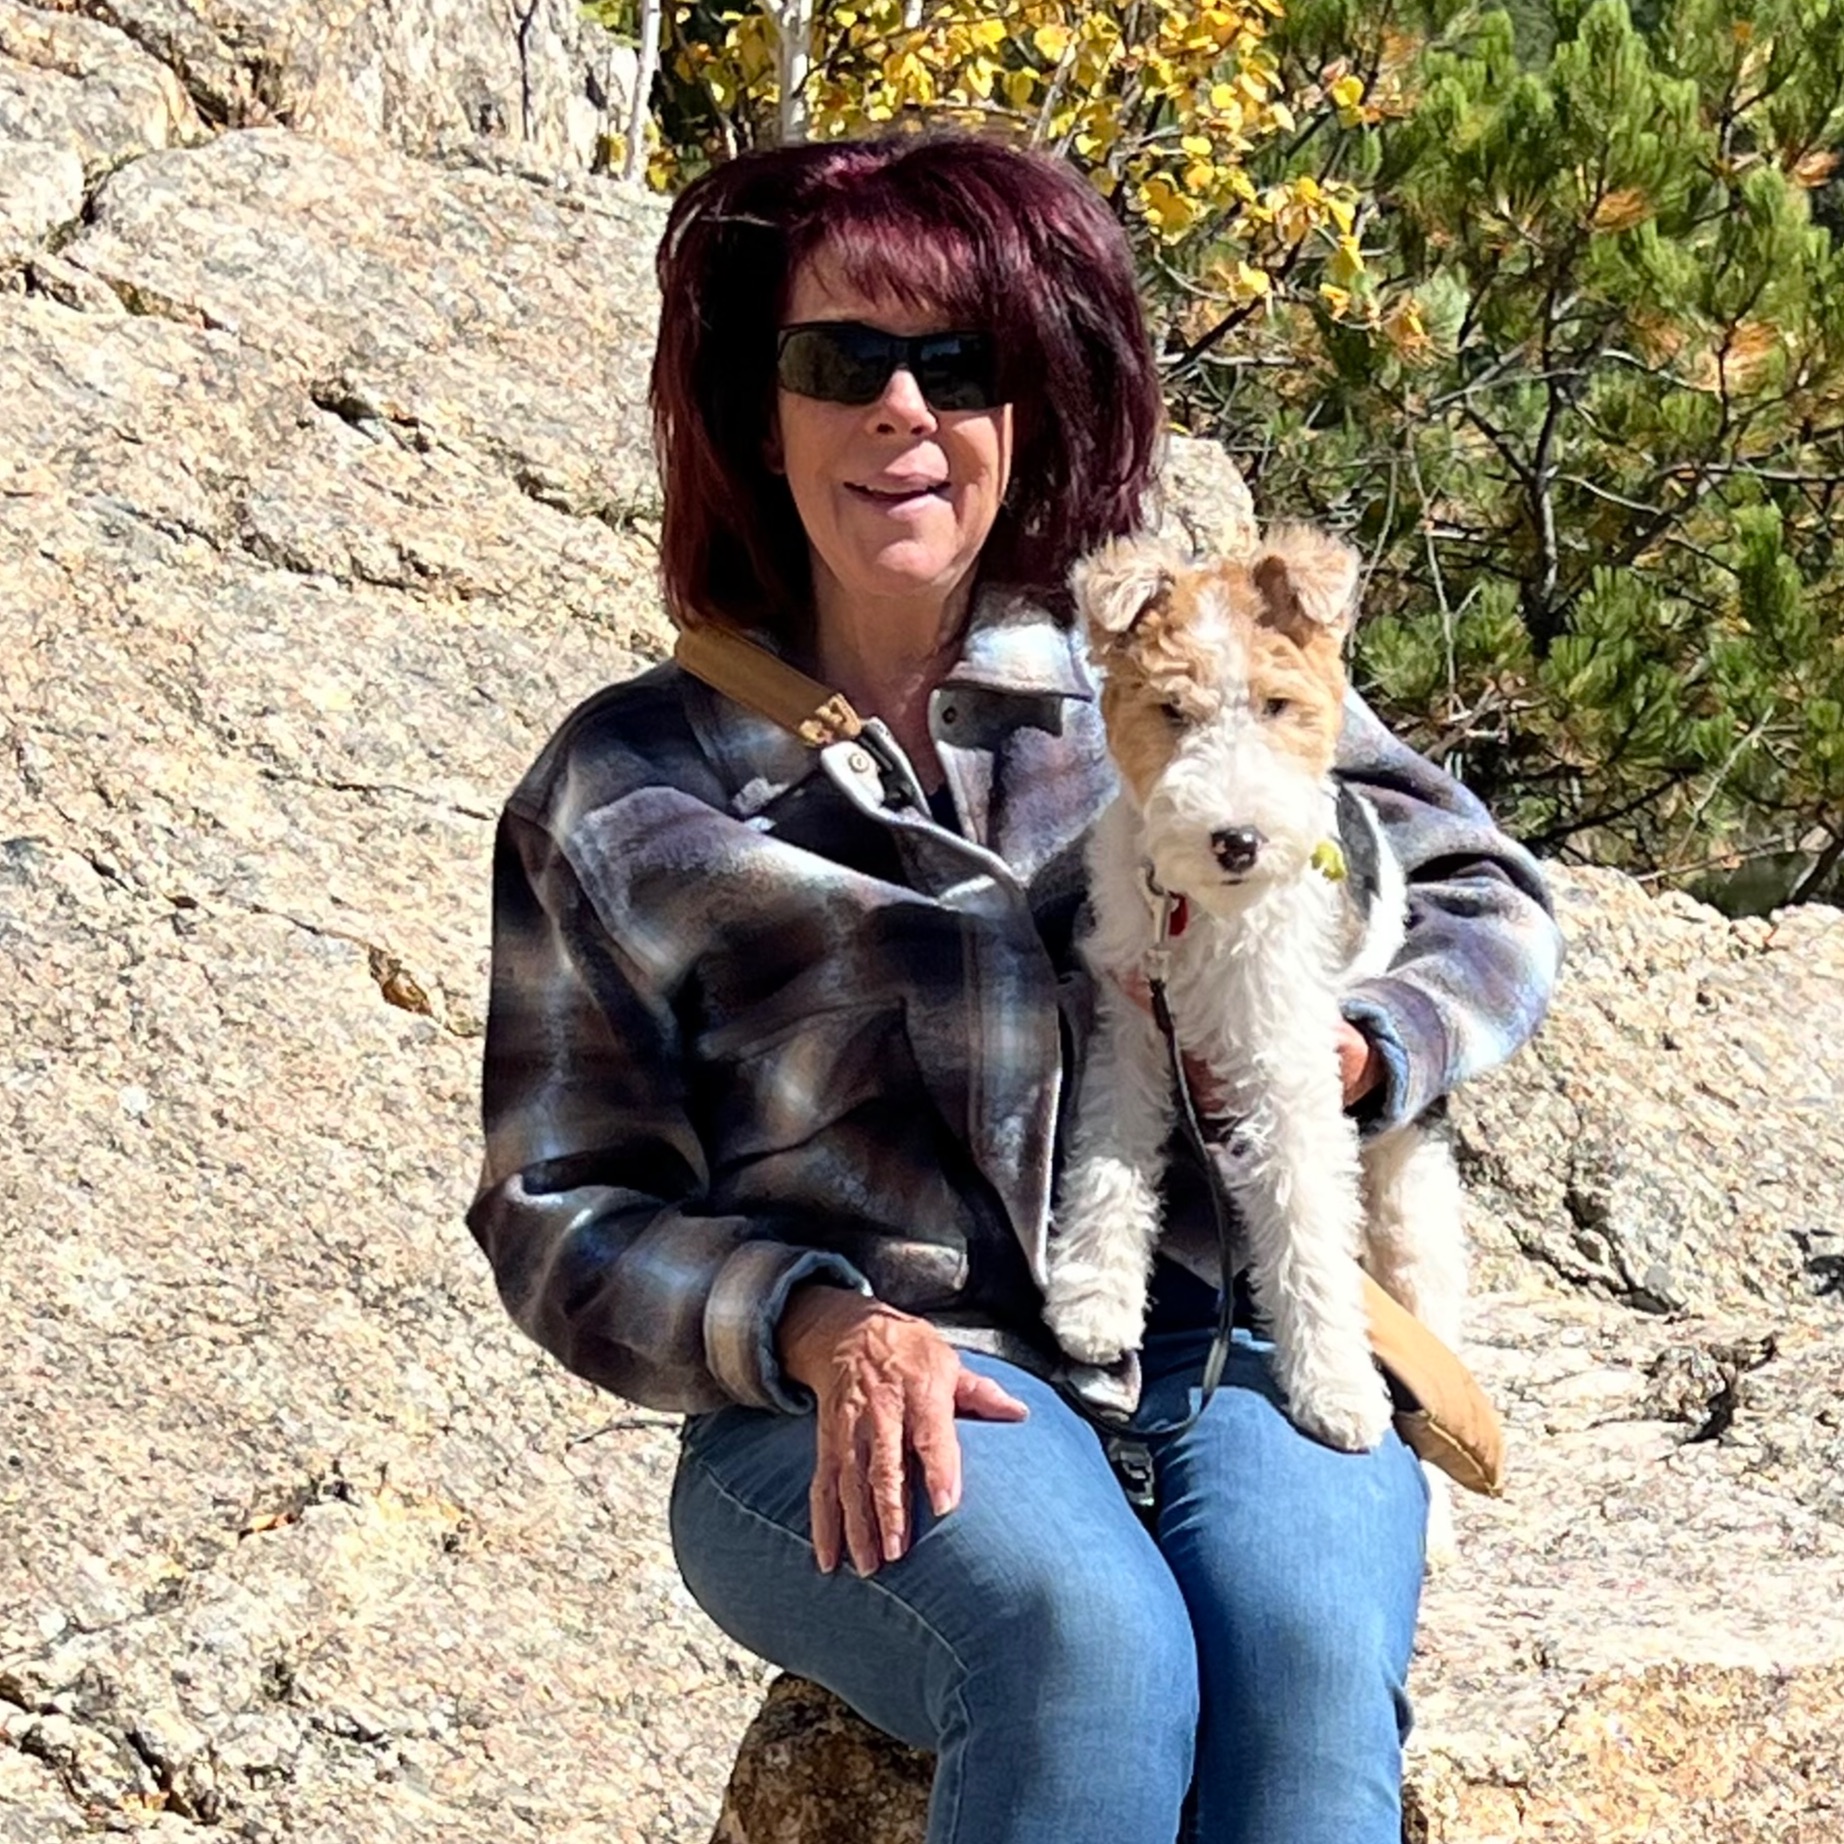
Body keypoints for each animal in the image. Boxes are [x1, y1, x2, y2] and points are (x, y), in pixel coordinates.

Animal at [1044, 527, 1468, 1535]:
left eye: (1278, 703)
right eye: (1172, 709)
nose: (1235, 841)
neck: (1197, 917)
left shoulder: (1290, 1071)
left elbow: (1308, 1228)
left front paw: (1337, 1394)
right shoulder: (1131, 1026)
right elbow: (1108, 1160)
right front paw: (1094, 1300)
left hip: (1411, 1184)